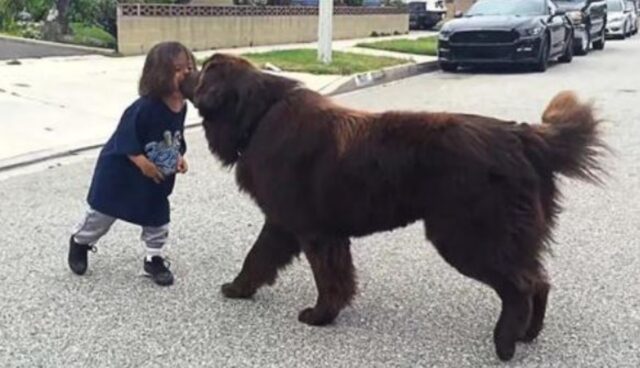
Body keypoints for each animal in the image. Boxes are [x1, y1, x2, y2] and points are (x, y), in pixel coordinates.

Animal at [186, 53, 604, 360]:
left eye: (200, 71)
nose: (189, 68)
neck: (258, 115)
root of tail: (523, 136)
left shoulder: (309, 229)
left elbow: (314, 274)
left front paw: (319, 316)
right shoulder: (295, 225)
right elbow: (265, 259)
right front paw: (241, 289)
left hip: (468, 237)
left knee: (520, 285)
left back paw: (504, 343)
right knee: (539, 279)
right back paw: (528, 334)